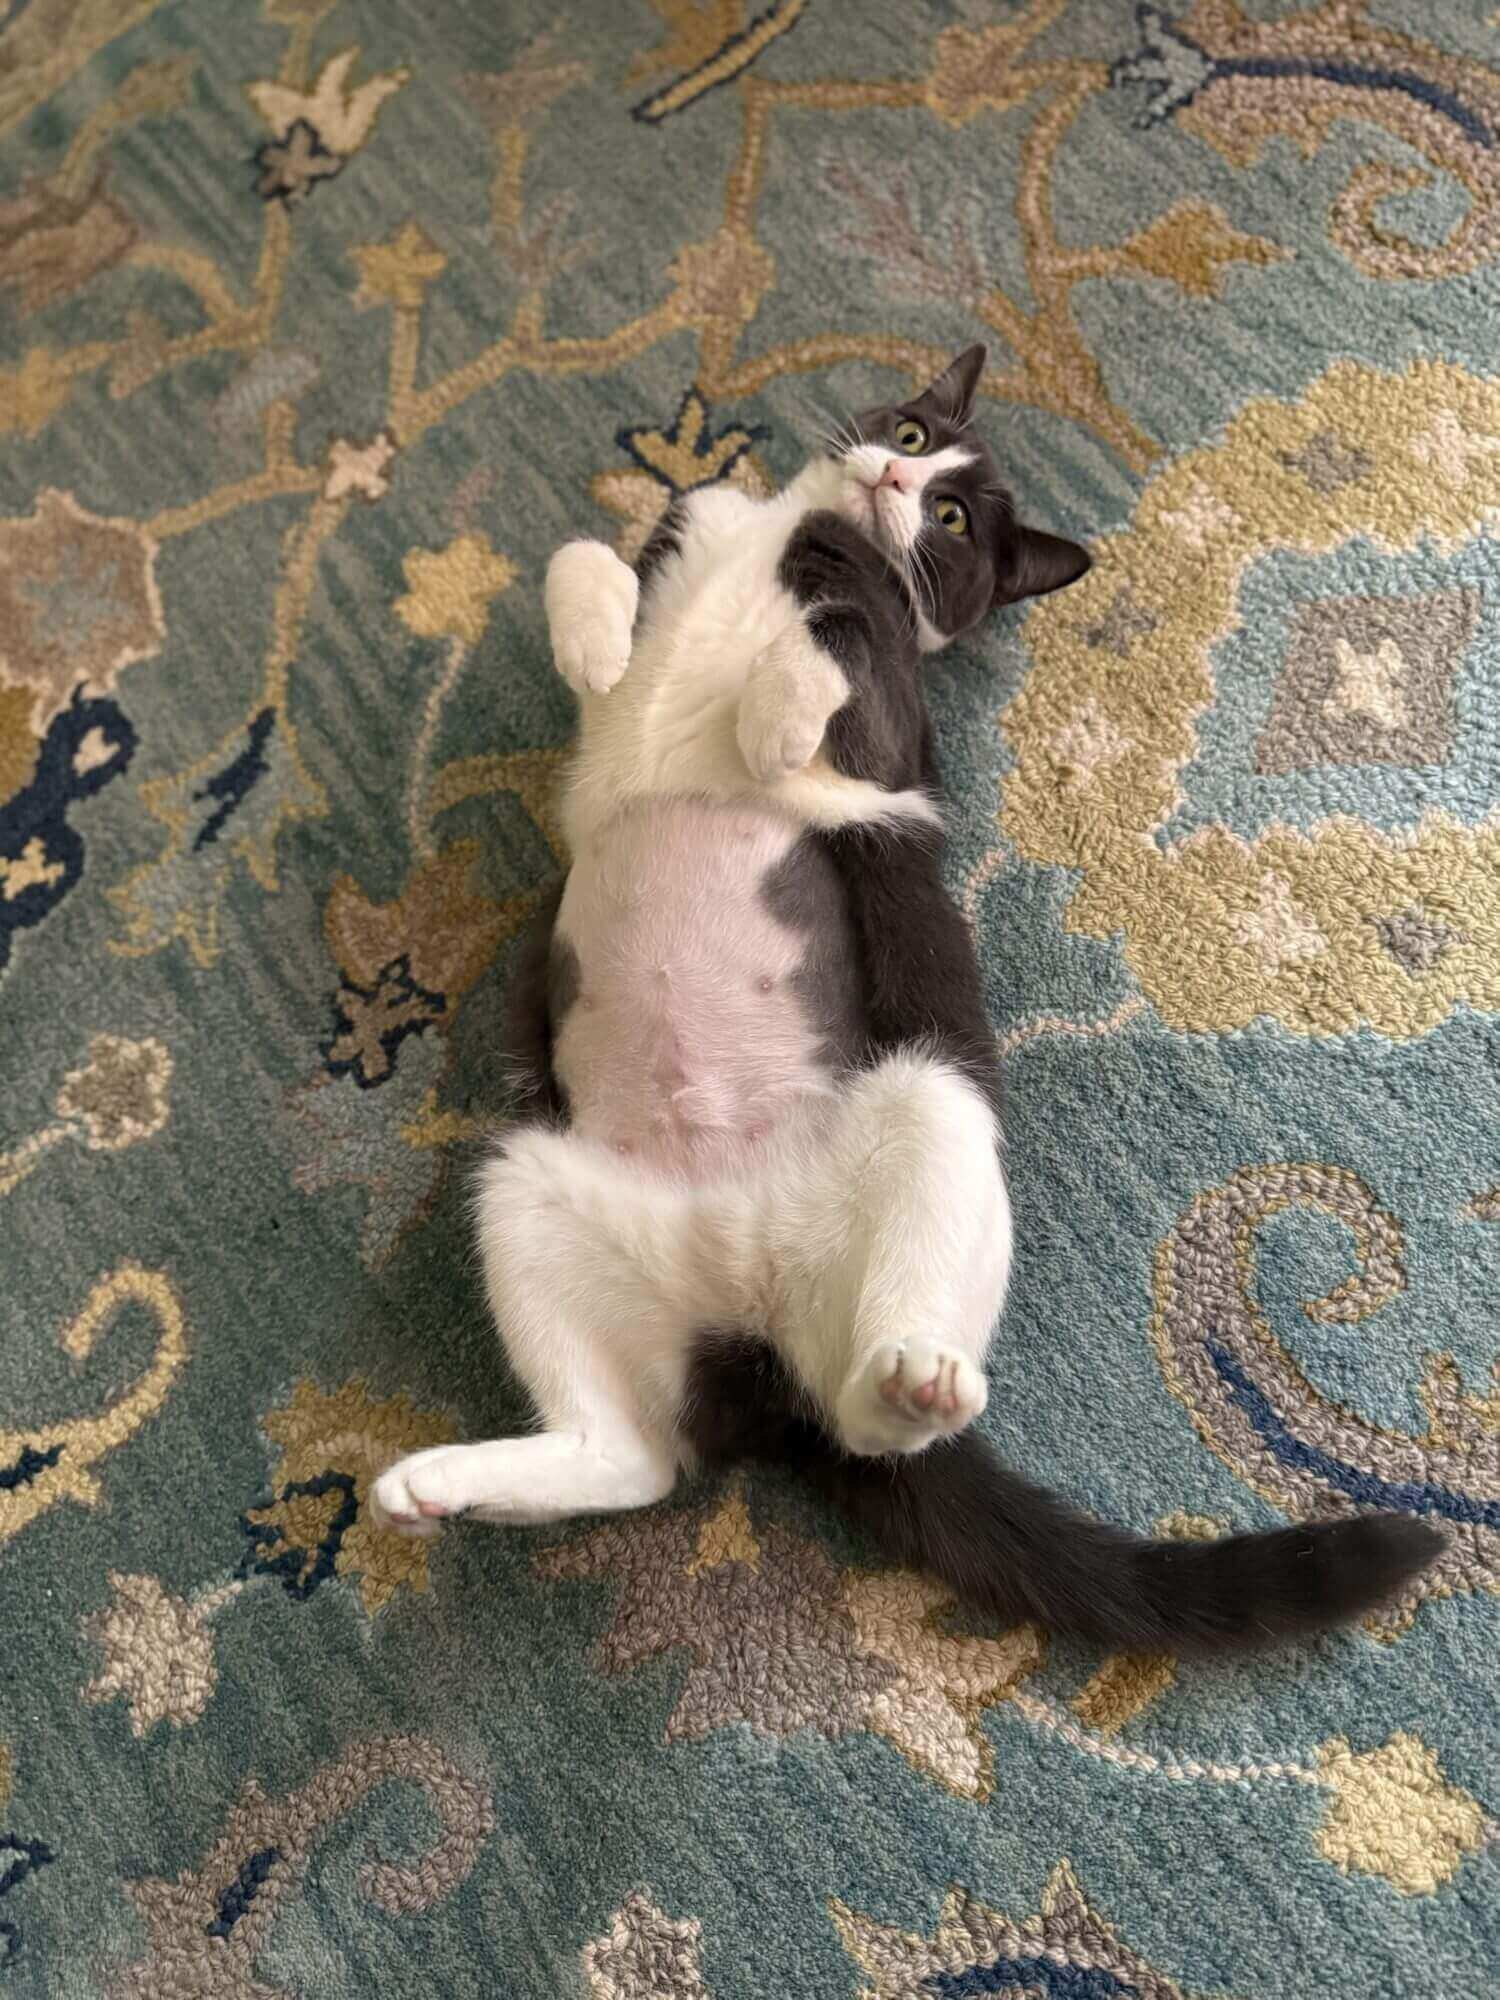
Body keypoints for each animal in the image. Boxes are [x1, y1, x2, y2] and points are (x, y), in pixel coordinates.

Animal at [372, 346, 1442, 1650]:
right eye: (918, 431)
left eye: (952, 521)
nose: (890, 472)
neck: (797, 531)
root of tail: (756, 1323)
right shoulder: (690, 529)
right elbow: (587, 548)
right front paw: (596, 641)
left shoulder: (889, 729)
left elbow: (839, 641)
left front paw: (774, 713)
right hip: (522, 1179)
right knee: (632, 1455)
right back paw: (439, 1481)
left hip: (928, 1106)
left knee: (867, 1406)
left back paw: (917, 1383)